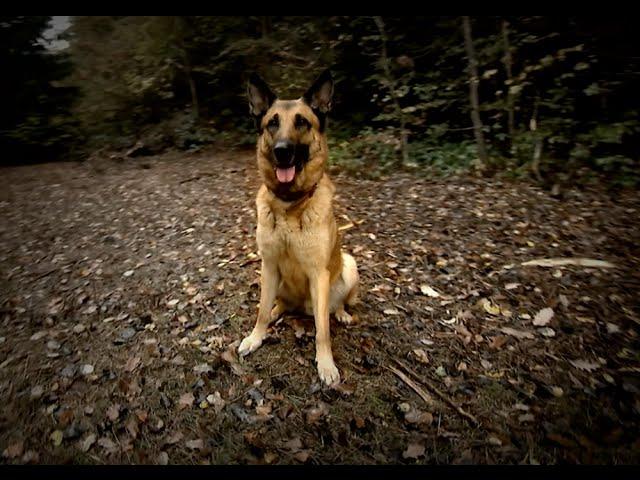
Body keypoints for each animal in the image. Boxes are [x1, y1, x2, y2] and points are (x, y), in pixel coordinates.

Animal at [239, 70, 360, 386]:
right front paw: (256, 337)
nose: (282, 151)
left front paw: (326, 364)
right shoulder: (268, 265)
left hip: (349, 265)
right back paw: (277, 311)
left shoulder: (319, 274)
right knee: (276, 305)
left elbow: (322, 330)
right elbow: (260, 312)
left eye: (302, 122)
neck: (289, 204)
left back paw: (340, 313)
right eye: (272, 123)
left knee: (334, 306)